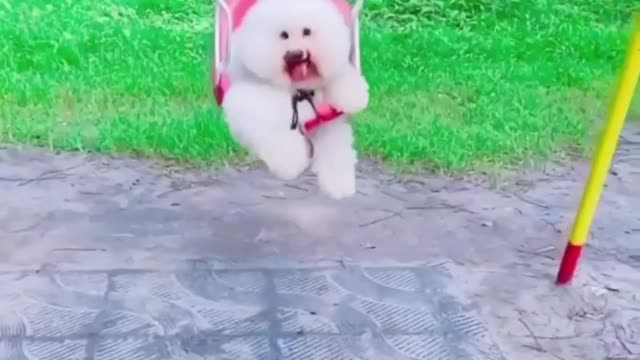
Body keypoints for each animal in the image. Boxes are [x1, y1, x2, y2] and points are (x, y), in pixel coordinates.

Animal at [221, 0, 368, 200]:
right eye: (284, 35)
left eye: (307, 31)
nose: (297, 53)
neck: (298, 89)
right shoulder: (253, 103)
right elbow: (276, 135)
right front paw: (290, 165)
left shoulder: (328, 121)